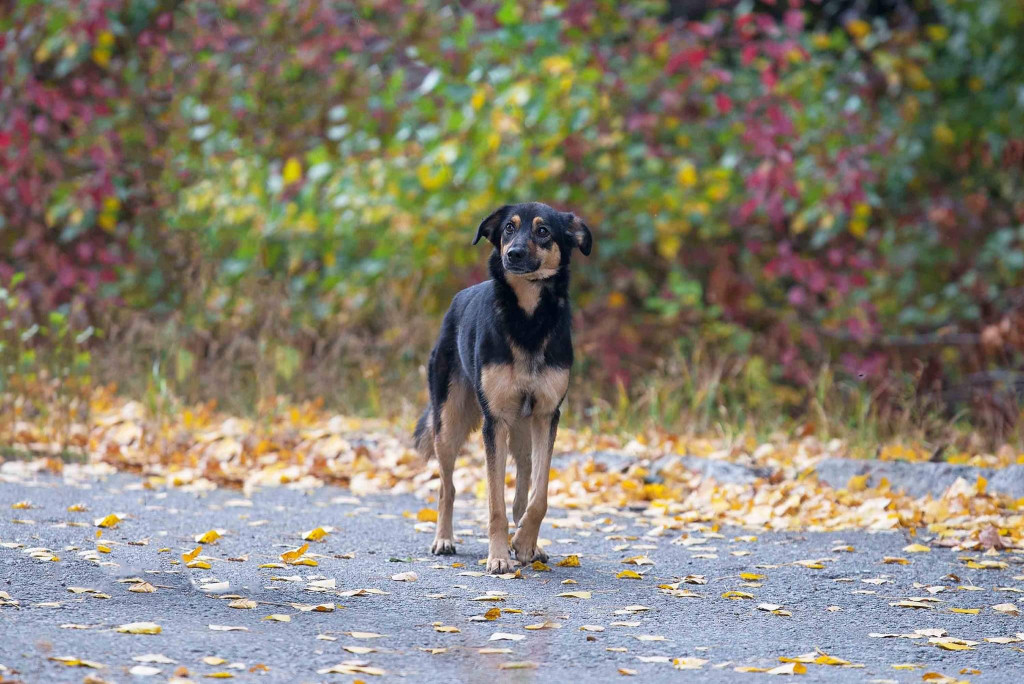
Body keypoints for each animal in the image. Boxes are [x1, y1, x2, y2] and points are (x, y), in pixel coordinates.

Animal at [413, 201, 593, 573]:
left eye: (543, 231)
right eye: (509, 228)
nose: (513, 254)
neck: (527, 317)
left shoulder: (547, 416)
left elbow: (539, 495)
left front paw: (524, 544)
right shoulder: (493, 422)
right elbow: (494, 504)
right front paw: (498, 557)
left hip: (522, 430)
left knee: (523, 485)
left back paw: (531, 544)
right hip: (449, 424)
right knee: (447, 487)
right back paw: (444, 539)